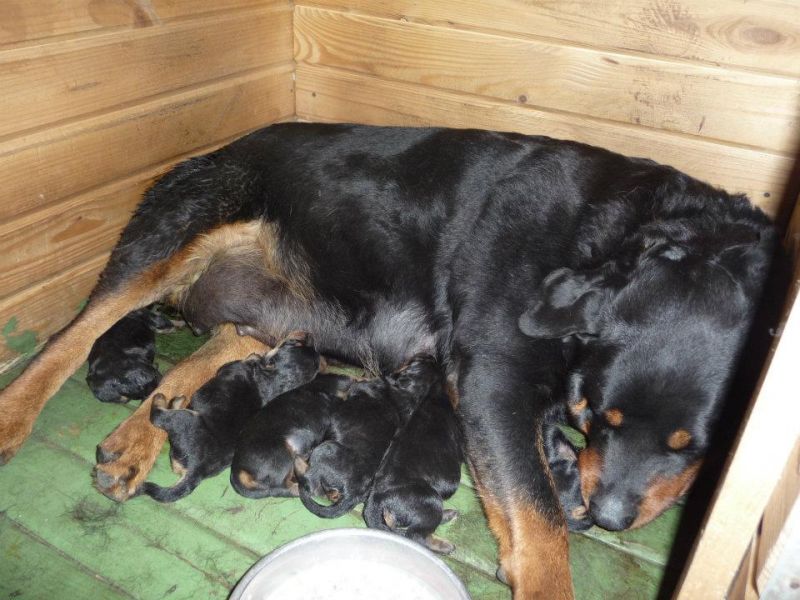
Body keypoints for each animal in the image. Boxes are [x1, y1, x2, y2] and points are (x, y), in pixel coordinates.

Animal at [144, 336, 318, 504]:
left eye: (291, 343)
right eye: (296, 343)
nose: (308, 338)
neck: (273, 380)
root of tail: (197, 469)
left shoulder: (230, 365)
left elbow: (250, 358)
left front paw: (255, 356)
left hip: (184, 418)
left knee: (158, 415)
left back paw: (161, 398)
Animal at [296, 356, 434, 520]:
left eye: (417, 360)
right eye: (425, 359)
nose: (431, 356)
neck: (410, 393)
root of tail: (352, 495)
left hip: (326, 448)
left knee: (309, 482)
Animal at [362, 354, 462, 556]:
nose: (429, 354)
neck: (431, 392)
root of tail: (375, 501)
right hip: (431, 500)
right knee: (416, 535)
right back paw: (444, 545)